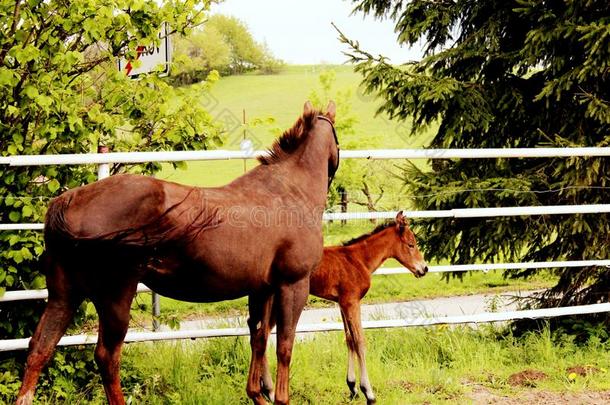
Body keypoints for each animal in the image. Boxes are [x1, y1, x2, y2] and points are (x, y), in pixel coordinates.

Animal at [258, 210, 426, 402]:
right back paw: (269, 390)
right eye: (411, 244)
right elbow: (359, 341)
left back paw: (266, 389)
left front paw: (352, 387)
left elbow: (349, 339)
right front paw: (368, 392)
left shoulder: (342, 303)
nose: (424, 269)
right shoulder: (352, 301)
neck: (359, 260)